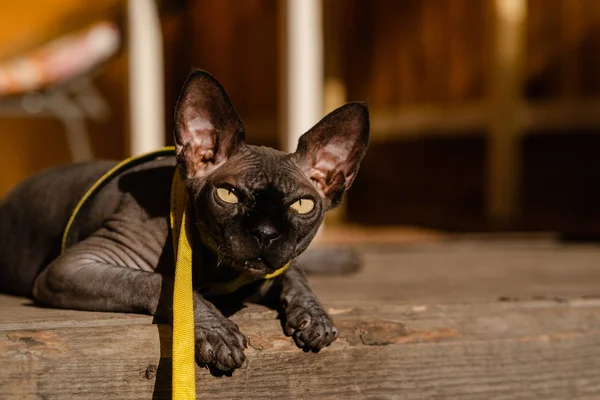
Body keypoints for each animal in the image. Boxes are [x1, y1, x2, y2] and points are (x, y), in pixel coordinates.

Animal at [0, 70, 368, 374]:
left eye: (302, 205)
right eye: (228, 194)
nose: (265, 233)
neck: (217, 269)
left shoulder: (261, 270)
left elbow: (293, 272)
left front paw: (314, 313)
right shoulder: (70, 267)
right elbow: (160, 281)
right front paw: (214, 329)